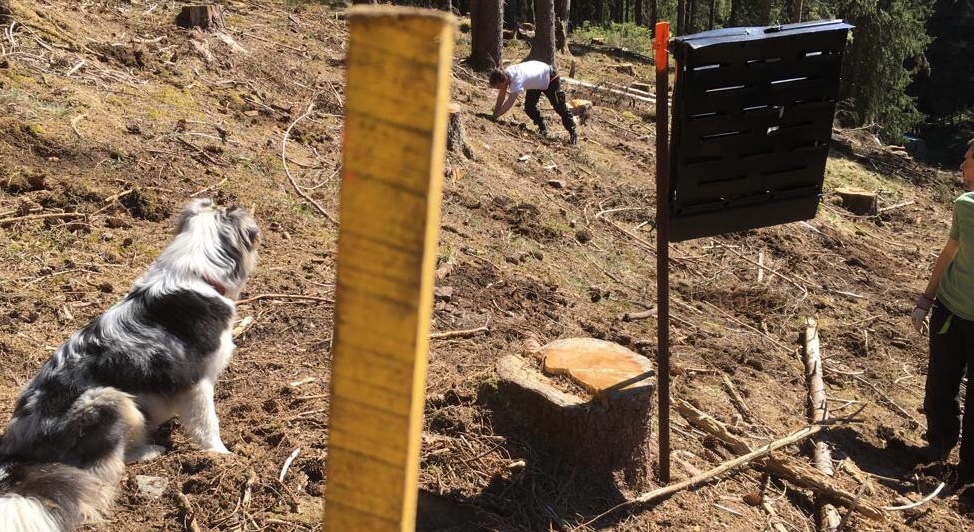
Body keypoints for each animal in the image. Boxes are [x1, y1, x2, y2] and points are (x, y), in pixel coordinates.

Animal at [0, 197, 262, 528]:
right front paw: (221, 456)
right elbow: (207, 424)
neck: (194, 274)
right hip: (108, 400)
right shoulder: (198, 382)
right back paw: (149, 451)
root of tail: (17, 453)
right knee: (106, 467)